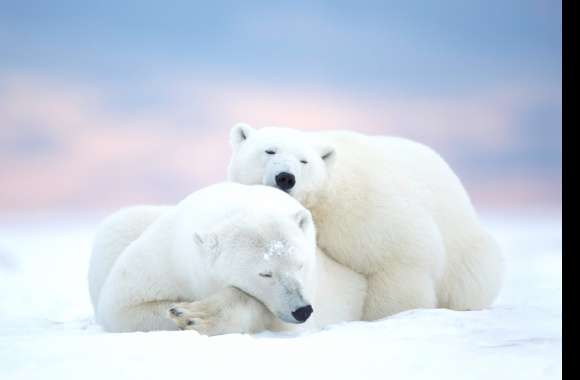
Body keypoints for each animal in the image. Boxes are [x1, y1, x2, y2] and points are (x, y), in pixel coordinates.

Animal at [88, 183, 364, 334]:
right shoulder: (165, 258)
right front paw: (183, 311)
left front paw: (194, 314)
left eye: (300, 264)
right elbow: (123, 307)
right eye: (265, 273)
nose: (302, 310)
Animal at [227, 123, 502, 320]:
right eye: (269, 150)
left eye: (304, 161)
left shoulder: (365, 210)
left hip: (466, 251)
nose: (285, 177)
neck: (326, 200)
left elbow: (400, 259)